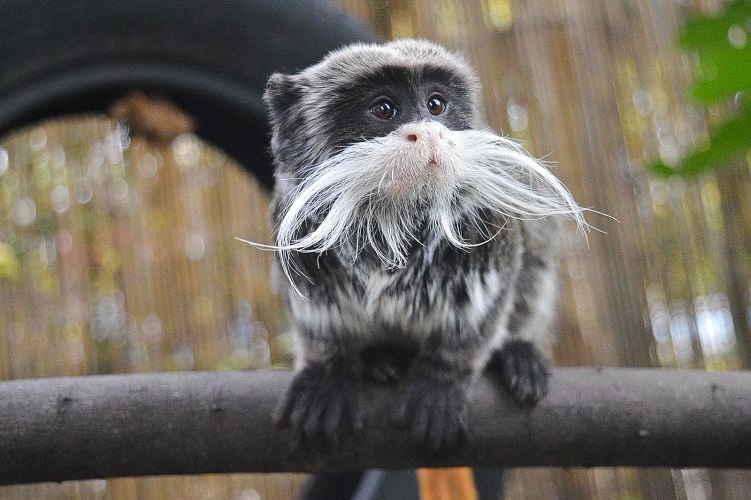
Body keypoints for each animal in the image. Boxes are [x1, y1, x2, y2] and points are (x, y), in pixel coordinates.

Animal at [251, 39, 588, 454]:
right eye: (384, 109)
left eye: (436, 105)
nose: (428, 132)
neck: (392, 223)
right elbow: (320, 326)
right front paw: (328, 371)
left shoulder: (491, 230)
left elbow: (478, 322)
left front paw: (441, 377)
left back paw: (518, 354)